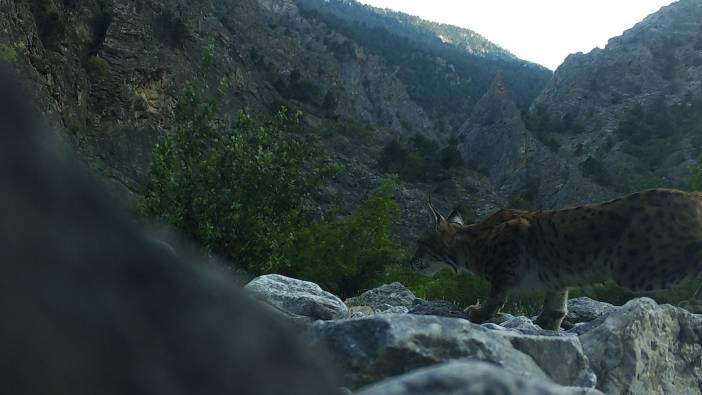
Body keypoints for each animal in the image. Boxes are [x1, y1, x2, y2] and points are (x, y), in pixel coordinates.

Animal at [410, 189, 702, 332]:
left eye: (419, 244)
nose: (410, 262)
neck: (469, 245)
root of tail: (692, 195)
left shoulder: (510, 249)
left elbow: (497, 294)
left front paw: (481, 312)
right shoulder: (557, 275)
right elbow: (556, 304)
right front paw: (547, 323)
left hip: (633, 266)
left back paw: (693, 303)